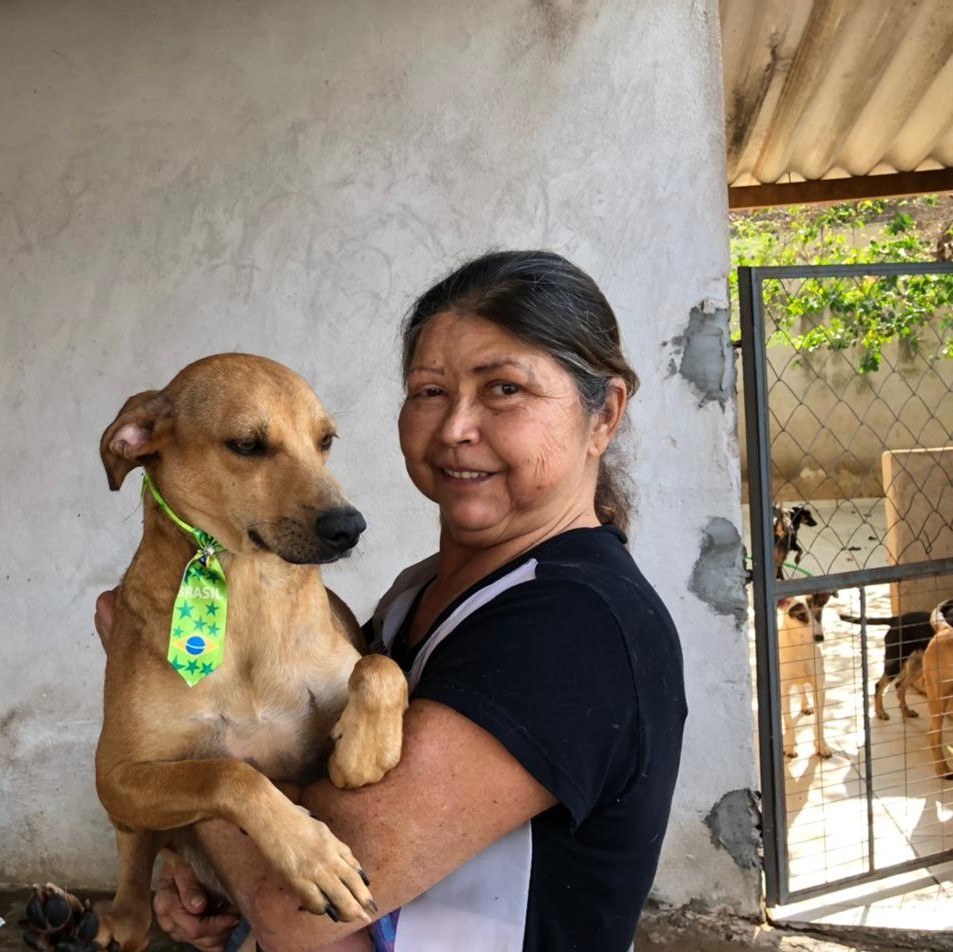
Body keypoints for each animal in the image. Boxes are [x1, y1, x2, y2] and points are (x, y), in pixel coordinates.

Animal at [26, 354, 406, 952]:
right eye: (247, 444)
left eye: (325, 441)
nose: (350, 527)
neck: (246, 592)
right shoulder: (117, 774)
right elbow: (228, 774)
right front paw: (314, 856)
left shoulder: (345, 675)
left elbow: (381, 666)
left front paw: (362, 753)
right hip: (133, 826)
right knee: (134, 916)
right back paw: (73, 924)